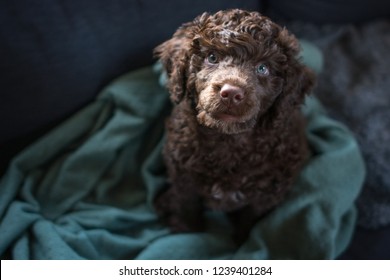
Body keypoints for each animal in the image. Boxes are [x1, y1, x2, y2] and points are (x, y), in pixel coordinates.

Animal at [154, 9, 316, 243]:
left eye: (263, 68)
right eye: (212, 57)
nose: (231, 93)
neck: (228, 139)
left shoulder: (267, 192)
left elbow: (250, 217)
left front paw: (244, 242)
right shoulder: (182, 175)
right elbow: (187, 205)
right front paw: (187, 230)